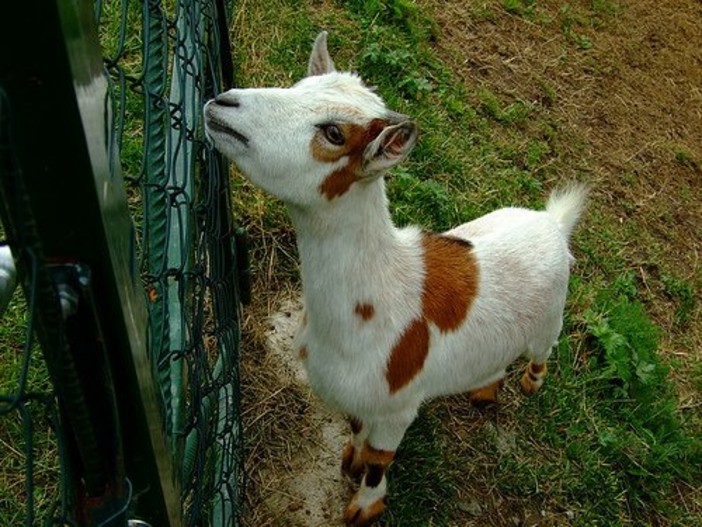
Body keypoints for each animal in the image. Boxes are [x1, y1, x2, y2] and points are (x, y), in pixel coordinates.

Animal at [206, 33, 592, 527]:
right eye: (298, 86)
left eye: (334, 134)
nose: (222, 103)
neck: (380, 297)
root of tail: (553, 223)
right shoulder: (357, 397)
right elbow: (356, 431)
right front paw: (348, 461)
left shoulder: (398, 407)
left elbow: (380, 457)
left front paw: (364, 506)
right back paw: (485, 389)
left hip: (551, 320)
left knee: (543, 351)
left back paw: (529, 384)